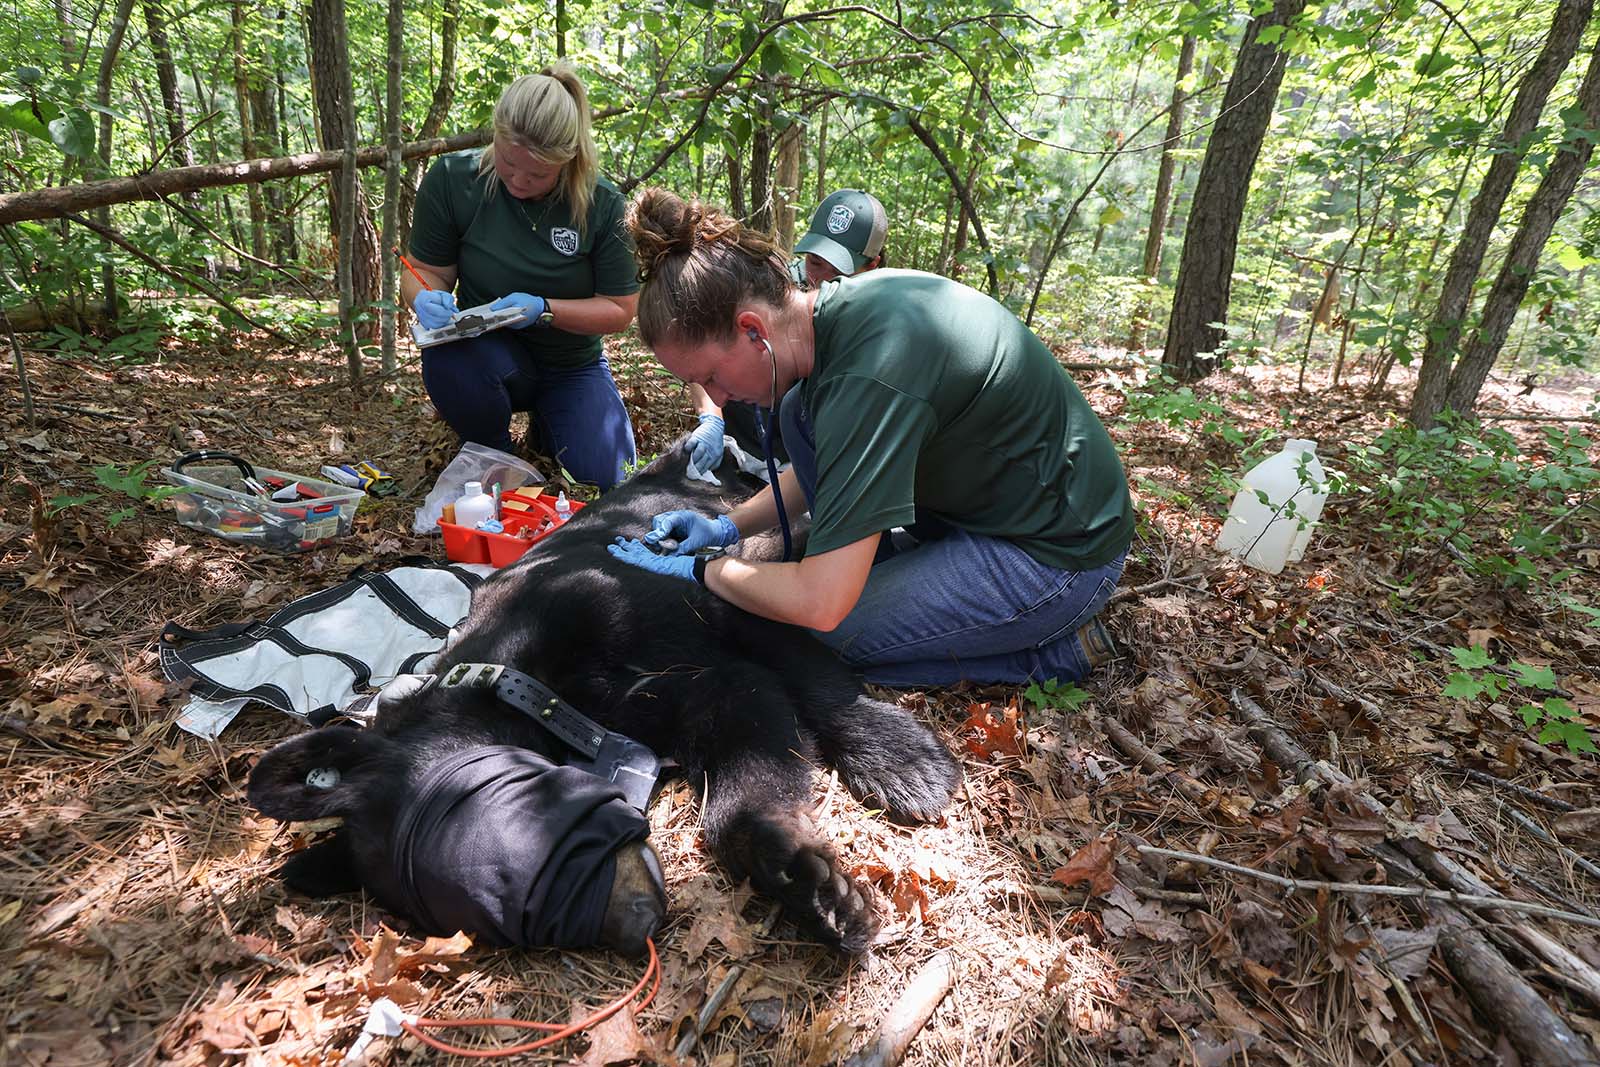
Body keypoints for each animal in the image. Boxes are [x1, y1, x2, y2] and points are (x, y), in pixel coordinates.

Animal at [247, 446, 963, 956]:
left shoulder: (720, 604)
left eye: (466, 807)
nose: (633, 925)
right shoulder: (706, 696)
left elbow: (812, 669)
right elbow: (739, 794)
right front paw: (802, 880)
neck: (523, 680)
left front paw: (900, 758)